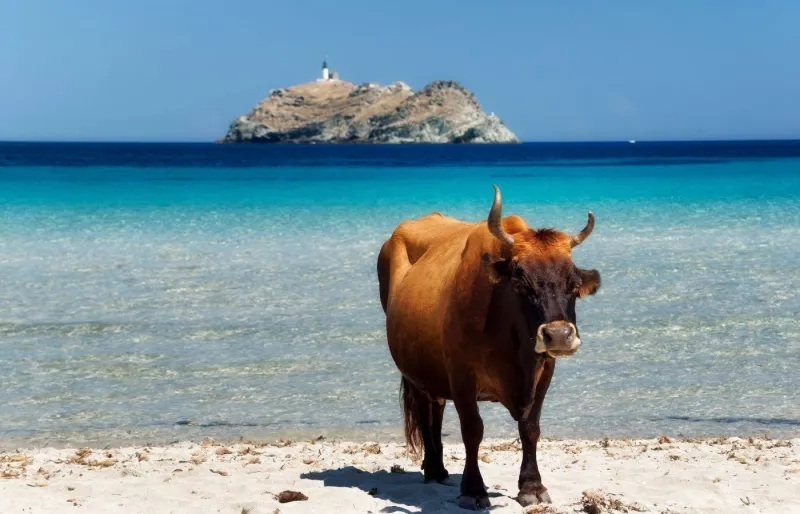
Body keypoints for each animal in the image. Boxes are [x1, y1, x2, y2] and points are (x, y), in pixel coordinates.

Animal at [377, 185, 601, 509]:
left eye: (573, 284)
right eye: (521, 282)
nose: (558, 335)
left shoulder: (545, 369)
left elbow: (530, 427)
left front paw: (531, 486)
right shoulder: (461, 374)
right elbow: (473, 429)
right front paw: (473, 489)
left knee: (436, 410)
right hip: (415, 372)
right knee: (425, 410)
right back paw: (434, 469)